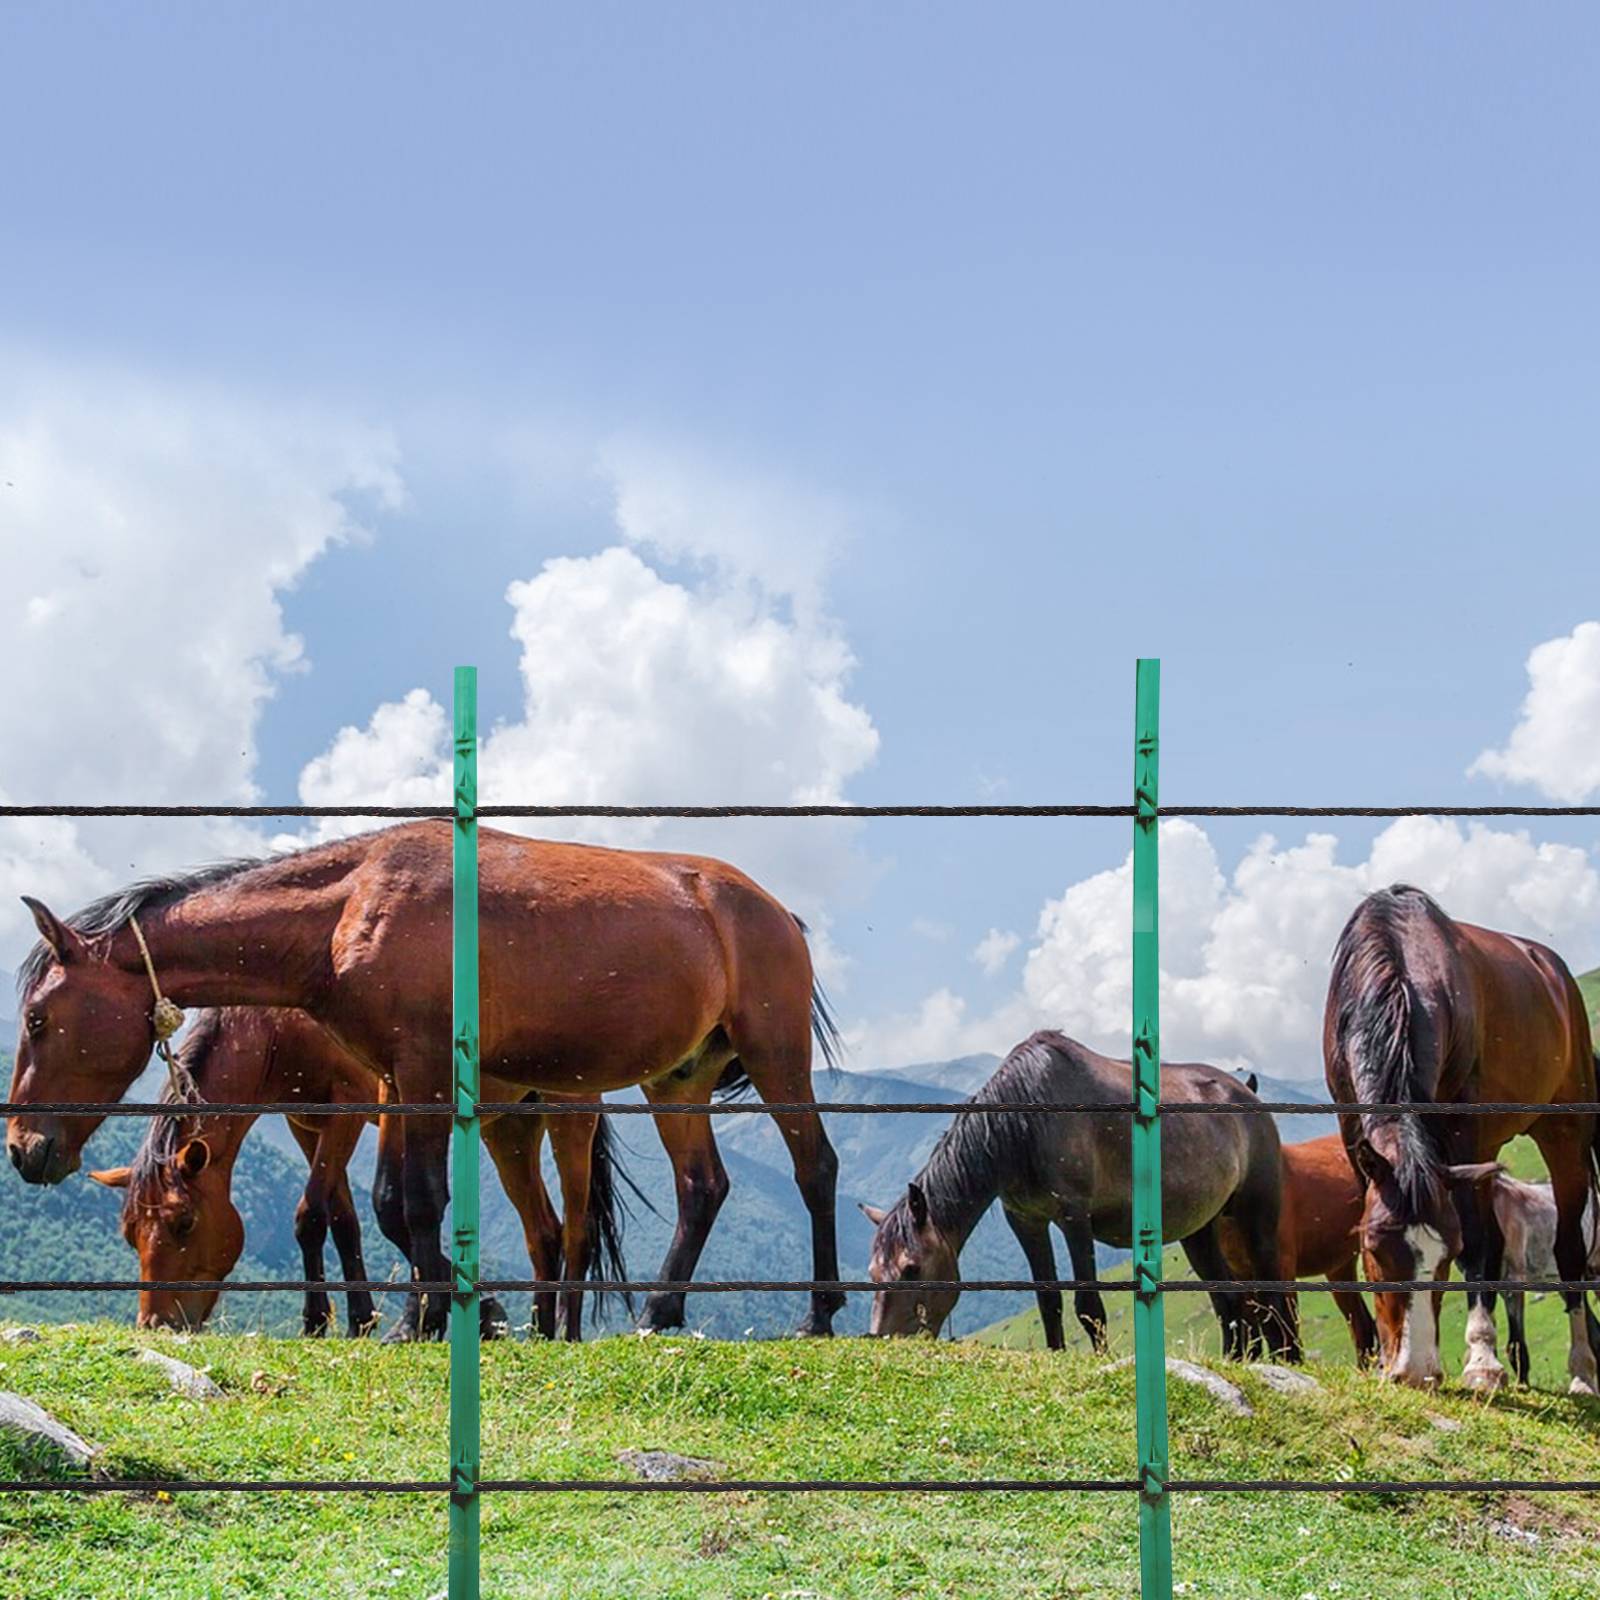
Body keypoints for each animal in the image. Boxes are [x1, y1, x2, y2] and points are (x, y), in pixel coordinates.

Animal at [84, 1006, 627, 1340]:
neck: (281, 1024)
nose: (156, 1324)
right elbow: (340, 1222)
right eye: (131, 1235)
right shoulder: (306, 1124)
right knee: (543, 1233)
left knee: (577, 1230)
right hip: (511, 1127)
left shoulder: (353, 1109)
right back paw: (540, 1330)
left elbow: (322, 1214)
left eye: (184, 1223)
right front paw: (356, 1320)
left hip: (568, 1115)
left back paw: (567, 1332)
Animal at [863, 1030, 1299, 1361]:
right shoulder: (1027, 1221)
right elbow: (1049, 1302)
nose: (884, 1340)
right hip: (1200, 1231)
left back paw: (1289, 1360)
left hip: (1256, 1219)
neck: (1026, 1122)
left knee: (1275, 1296)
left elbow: (1088, 1305)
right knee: (1230, 1299)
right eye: (872, 1274)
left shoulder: (1074, 1217)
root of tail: (1247, 1095)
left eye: (911, 1269)